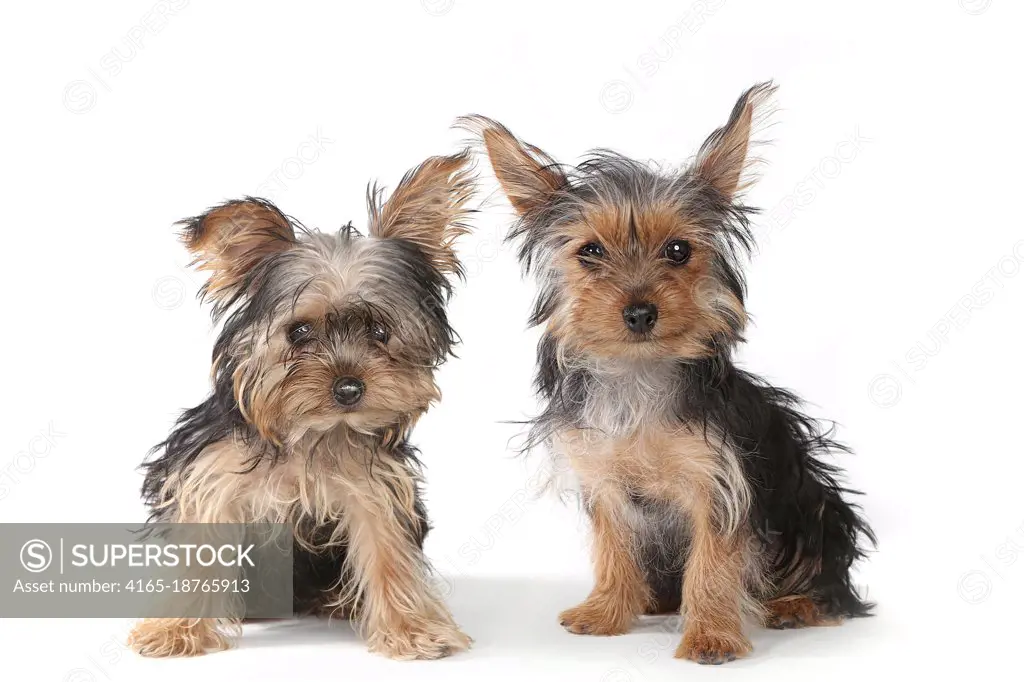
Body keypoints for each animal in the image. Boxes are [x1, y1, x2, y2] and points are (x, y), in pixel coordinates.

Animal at [129, 150, 475, 659]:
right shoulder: (210, 478)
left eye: (380, 331)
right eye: (299, 332)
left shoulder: (375, 488)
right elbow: (200, 550)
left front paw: (411, 629)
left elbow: (388, 552)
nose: (349, 389)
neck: (309, 431)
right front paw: (175, 630)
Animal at [464, 82, 872, 659]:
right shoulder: (604, 479)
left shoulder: (720, 482)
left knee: (831, 584)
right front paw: (607, 611)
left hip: (814, 507)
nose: (640, 311)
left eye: (678, 250)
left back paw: (795, 605)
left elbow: (714, 562)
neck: (638, 373)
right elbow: (613, 546)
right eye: (590, 251)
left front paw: (711, 636)